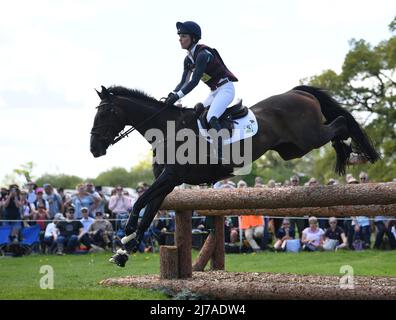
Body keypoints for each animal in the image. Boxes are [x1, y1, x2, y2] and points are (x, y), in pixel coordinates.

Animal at [89, 84, 380, 266]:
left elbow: (139, 202)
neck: (166, 129)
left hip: (308, 138)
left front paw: (126, 235)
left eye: (105, 112)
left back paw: (353, 154)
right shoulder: (167, 183)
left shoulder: (170, 177)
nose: (94, 149)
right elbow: (148, 212)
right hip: (293, 149)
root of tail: (297, 92)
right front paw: (124, 252)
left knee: (341, 124)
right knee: (337, 126)